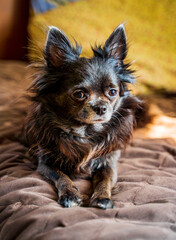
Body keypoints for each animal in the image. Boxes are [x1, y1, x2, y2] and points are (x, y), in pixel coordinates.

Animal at [25, 23, 142, 209]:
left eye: (112, 92)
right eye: (79, 94)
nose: (101, 107)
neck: (85, 132)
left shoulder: (108, 162)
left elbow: (104, 180)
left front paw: (102, 197)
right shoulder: (45, 162)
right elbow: (61, 176)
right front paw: (70, 194)